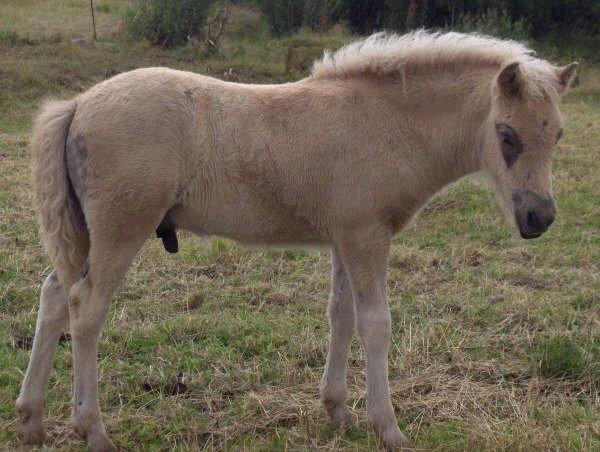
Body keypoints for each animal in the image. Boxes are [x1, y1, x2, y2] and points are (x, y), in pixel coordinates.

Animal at [17, 31, 576, 448]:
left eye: (559, 134)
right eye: (506, 136)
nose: (539, 217)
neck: (387, 124)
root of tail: (79, 103)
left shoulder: (346, 237)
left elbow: (341, 314)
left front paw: (337, 412)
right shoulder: (368, 237)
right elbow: (376, 324)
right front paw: (388, 428)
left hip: (85, 234)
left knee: (53, 295)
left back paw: (32, 420)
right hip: (121, 230)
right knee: (86, 310)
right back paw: (92, 430)